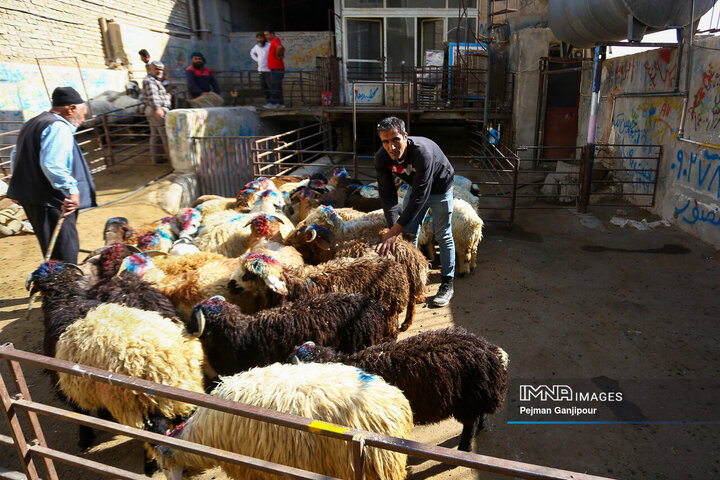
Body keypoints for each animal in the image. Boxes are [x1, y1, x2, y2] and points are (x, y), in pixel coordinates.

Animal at [290, 324, 510, 452]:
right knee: (479, 414)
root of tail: (491, 352)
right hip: (478, 393)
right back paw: (481, 426)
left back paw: (464, 448)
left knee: (469, 424)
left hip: (468, 398)